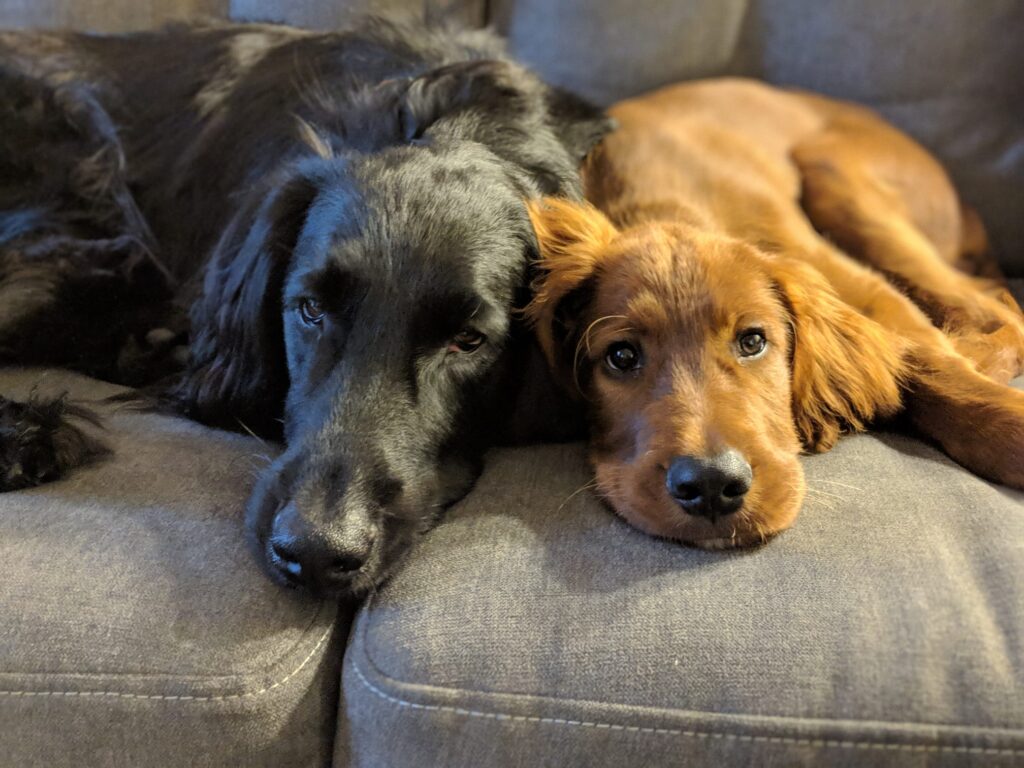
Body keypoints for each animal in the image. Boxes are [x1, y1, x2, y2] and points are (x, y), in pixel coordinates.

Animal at [528, 76, 1024, 548]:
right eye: (622, 356)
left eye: (753, 341)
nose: (711, 486)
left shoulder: (846, 276)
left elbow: (924, 360)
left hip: (832, 173)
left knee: (998, 309)